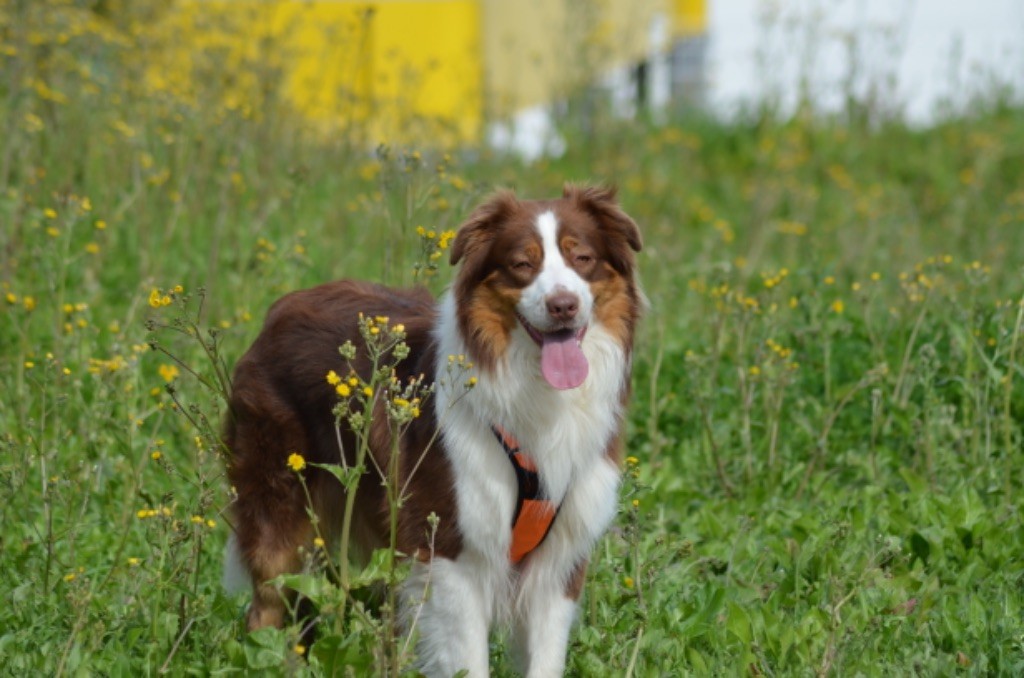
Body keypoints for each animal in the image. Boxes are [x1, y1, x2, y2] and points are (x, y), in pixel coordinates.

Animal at [223, 186, 638, 678]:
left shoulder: (559, 564)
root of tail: (279, 310)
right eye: (522, 264)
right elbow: (468, 660)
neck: (536, 395)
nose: (563, 305)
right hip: (279, 510)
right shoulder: (452, 554)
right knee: (267, 607)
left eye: (583, 258)